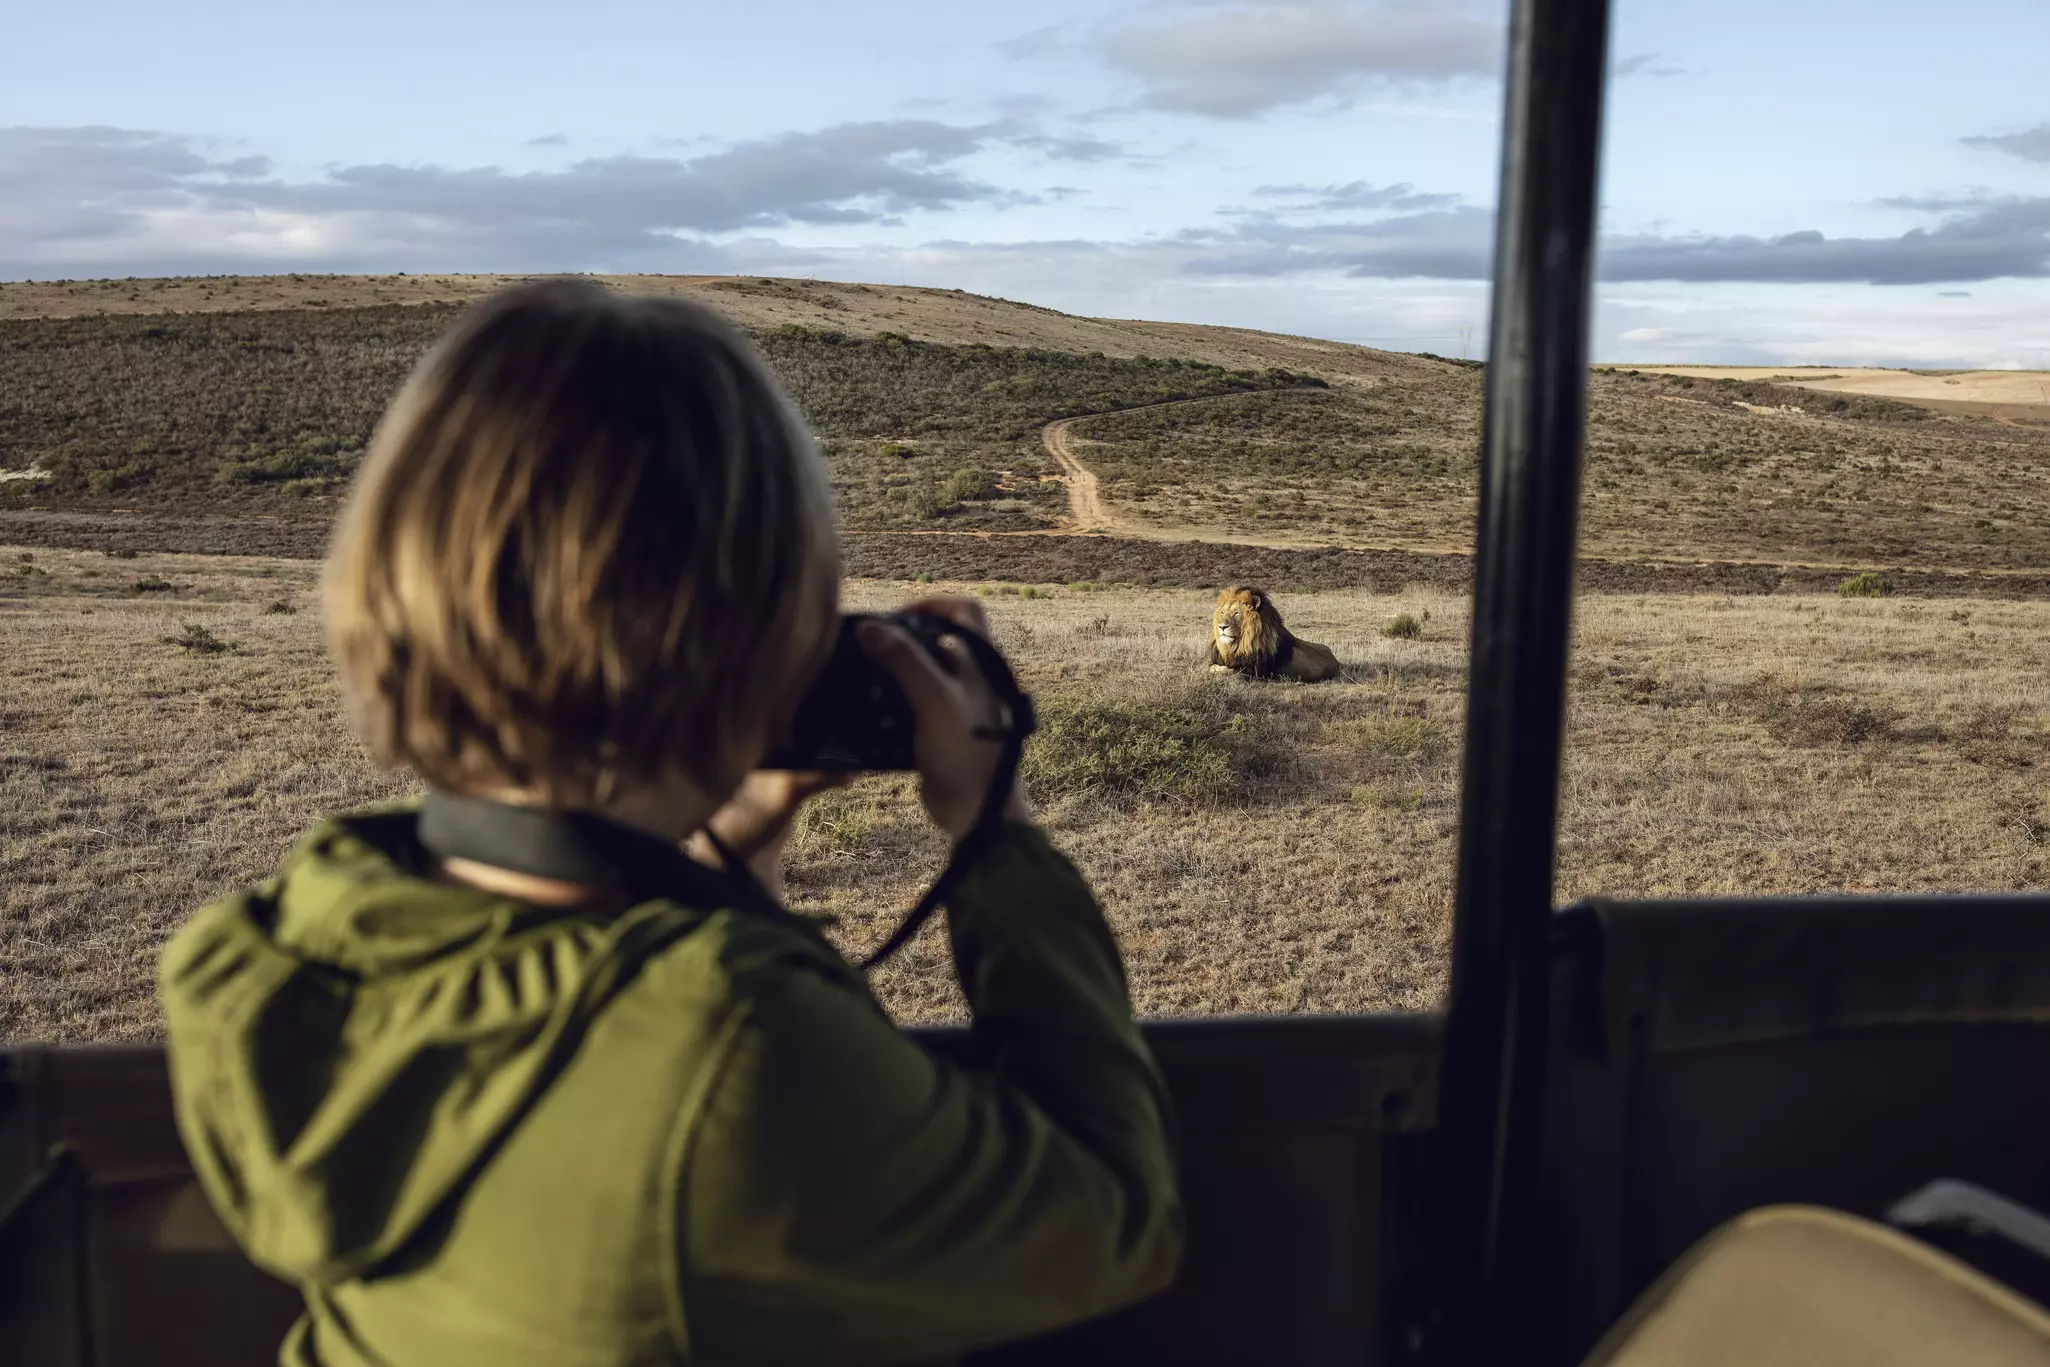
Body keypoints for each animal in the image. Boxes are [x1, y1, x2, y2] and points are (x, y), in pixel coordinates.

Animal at [1205, 586, 1341, 682]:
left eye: (1236, 613)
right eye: (1222, 613)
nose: (1222, 627)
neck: (1239, 644)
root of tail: (1337, 661)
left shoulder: (1255, 672)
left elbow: (1227, 670)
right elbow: (1212, 666)